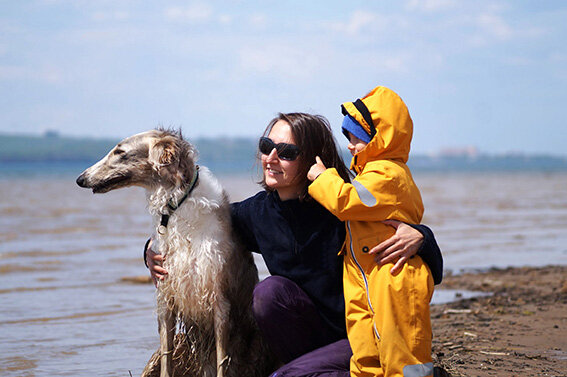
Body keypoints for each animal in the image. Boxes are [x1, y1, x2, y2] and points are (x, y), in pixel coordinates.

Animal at [76, 129, 276, 376]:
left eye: (120, 152)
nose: (80, 179)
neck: (176, 204)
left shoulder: (219, 300)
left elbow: (222, 360)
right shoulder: (166, 297)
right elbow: (166, 358)